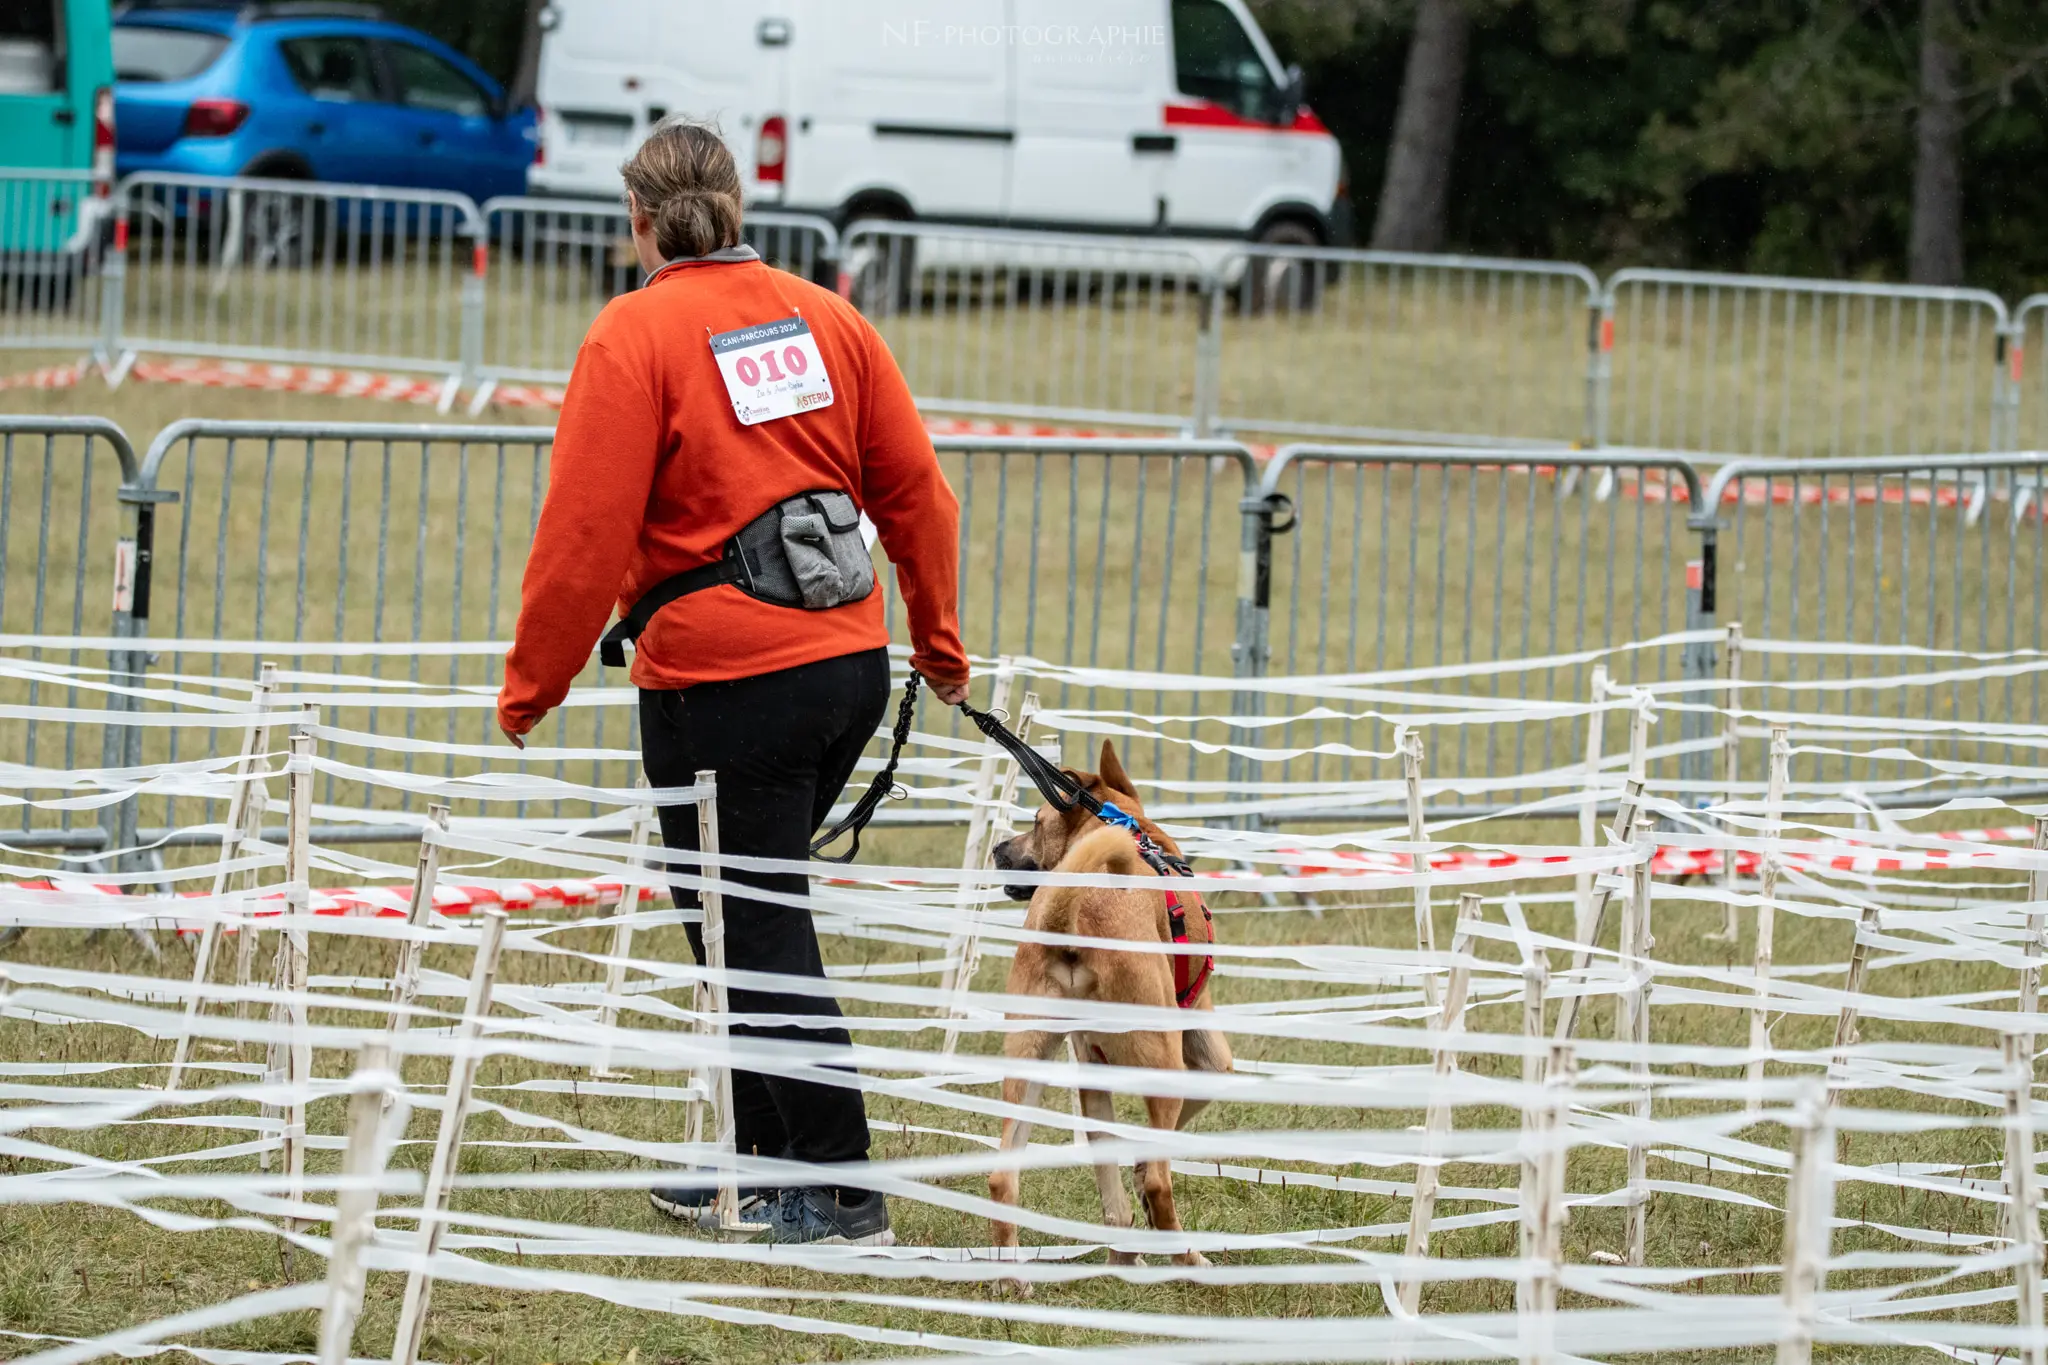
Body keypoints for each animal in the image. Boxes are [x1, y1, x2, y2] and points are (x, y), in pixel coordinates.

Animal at [987, 740, 1228, 1268]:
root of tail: (1074, 914)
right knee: (1160, 1182)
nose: (997, 848)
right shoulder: (1202, 1046)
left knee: (1001, 1176)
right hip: (1163, 1058)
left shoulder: (1089, 1061)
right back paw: (1188, 1260)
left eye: (1035, 821)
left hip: (1030, 1054)